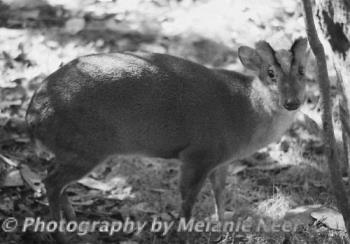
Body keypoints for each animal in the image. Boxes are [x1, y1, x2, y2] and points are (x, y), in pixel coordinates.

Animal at [26, 38, 308, 242]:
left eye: (302, 71)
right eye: (270, 73)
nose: (292, 102)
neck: (246, 112)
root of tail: (33, 116)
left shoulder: (221, 159)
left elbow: (220, 192)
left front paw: (225, 228)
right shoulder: (198, 153)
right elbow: (188, 198)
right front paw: (181, 235)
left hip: (72, 150)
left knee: (56, 180)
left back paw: (75, 224)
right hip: (86, 148)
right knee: (51, 182)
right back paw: (61, 235)